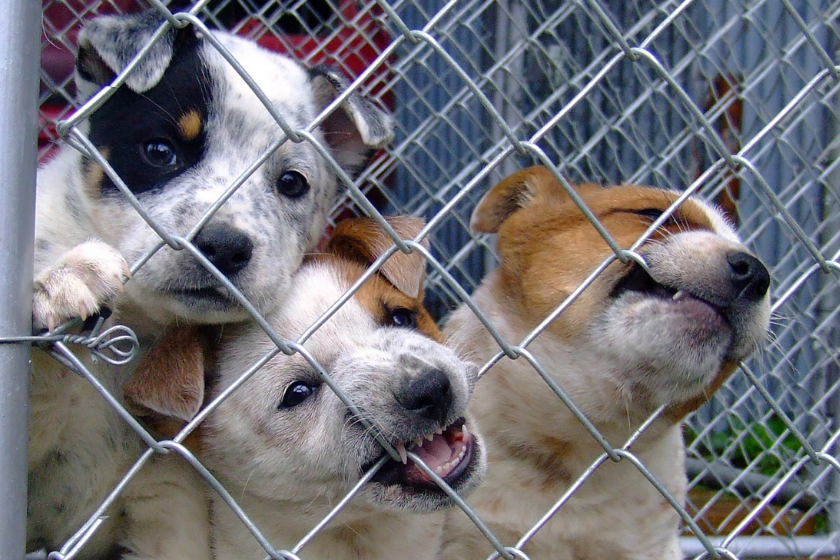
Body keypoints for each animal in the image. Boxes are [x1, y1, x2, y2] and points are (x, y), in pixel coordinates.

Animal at [27, 12, 394, 560]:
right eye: (160, 151)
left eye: (292, 183)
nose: (221, 247)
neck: (142, 329)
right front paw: (61, 278)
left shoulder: (167, 490)